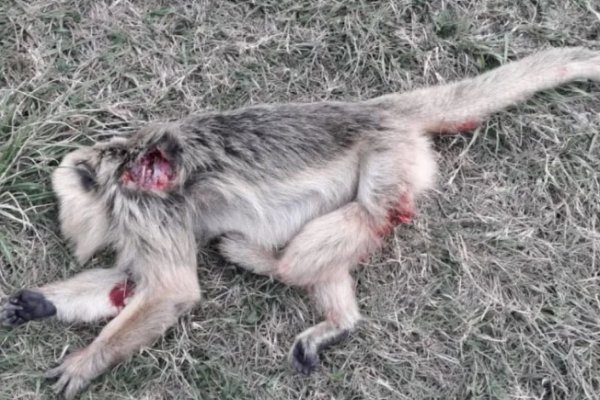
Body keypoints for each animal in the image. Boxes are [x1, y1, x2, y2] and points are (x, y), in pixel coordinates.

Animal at [1, 47, 600, 396]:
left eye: (65, 208)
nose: (69, 233)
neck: (121, 169)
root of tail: (377, 110)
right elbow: (126, 283)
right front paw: (39, 304)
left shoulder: (142, 207)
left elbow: (169, 290)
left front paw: (88, 362)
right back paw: (340, 321)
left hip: (390, 157)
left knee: (359, 219)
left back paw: (264, 261)